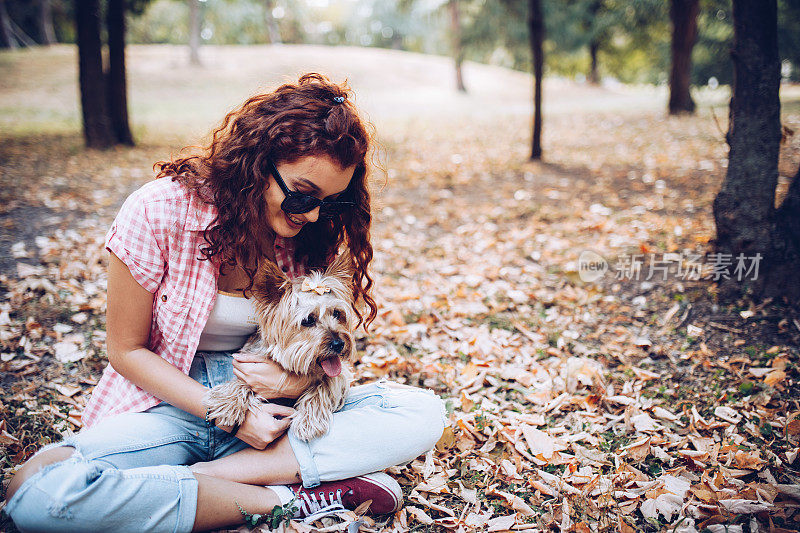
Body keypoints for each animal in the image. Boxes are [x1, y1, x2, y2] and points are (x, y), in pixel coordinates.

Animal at [203, 254, 356, 440]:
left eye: (337, 313)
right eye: (308, 320)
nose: (339, 343)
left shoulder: (341, 374)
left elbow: (325, 385)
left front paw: (308, 421)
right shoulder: (249, 360)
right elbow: (241, 381)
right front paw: (228, 403)